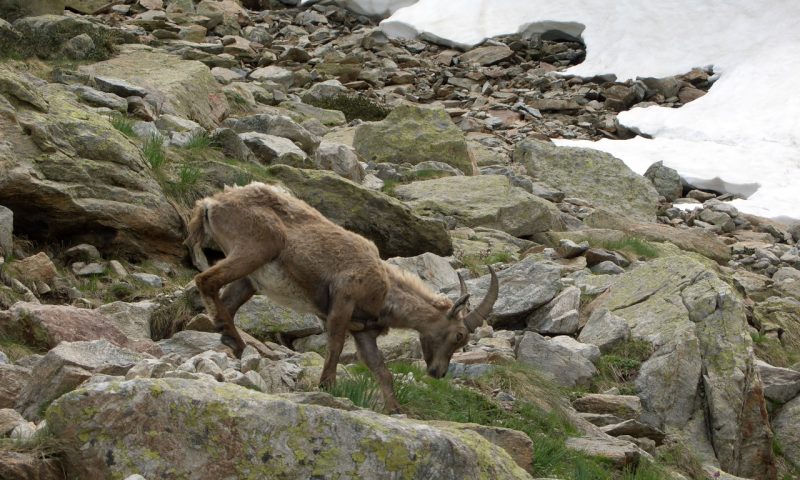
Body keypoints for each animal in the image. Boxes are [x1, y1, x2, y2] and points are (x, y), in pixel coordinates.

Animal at [184, 182, 496, 410]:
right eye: (458, 335)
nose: (438, 373)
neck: (386, 291)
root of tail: (210, 204)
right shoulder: (342, 303)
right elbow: (334, 346)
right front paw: (327, 387)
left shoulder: (364, 332)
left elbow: (381, 369)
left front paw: (395, 409)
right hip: (254, 249)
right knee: (205, 280)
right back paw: (233, 339)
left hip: (251, 278)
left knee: (227, 300)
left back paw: (232, 341)